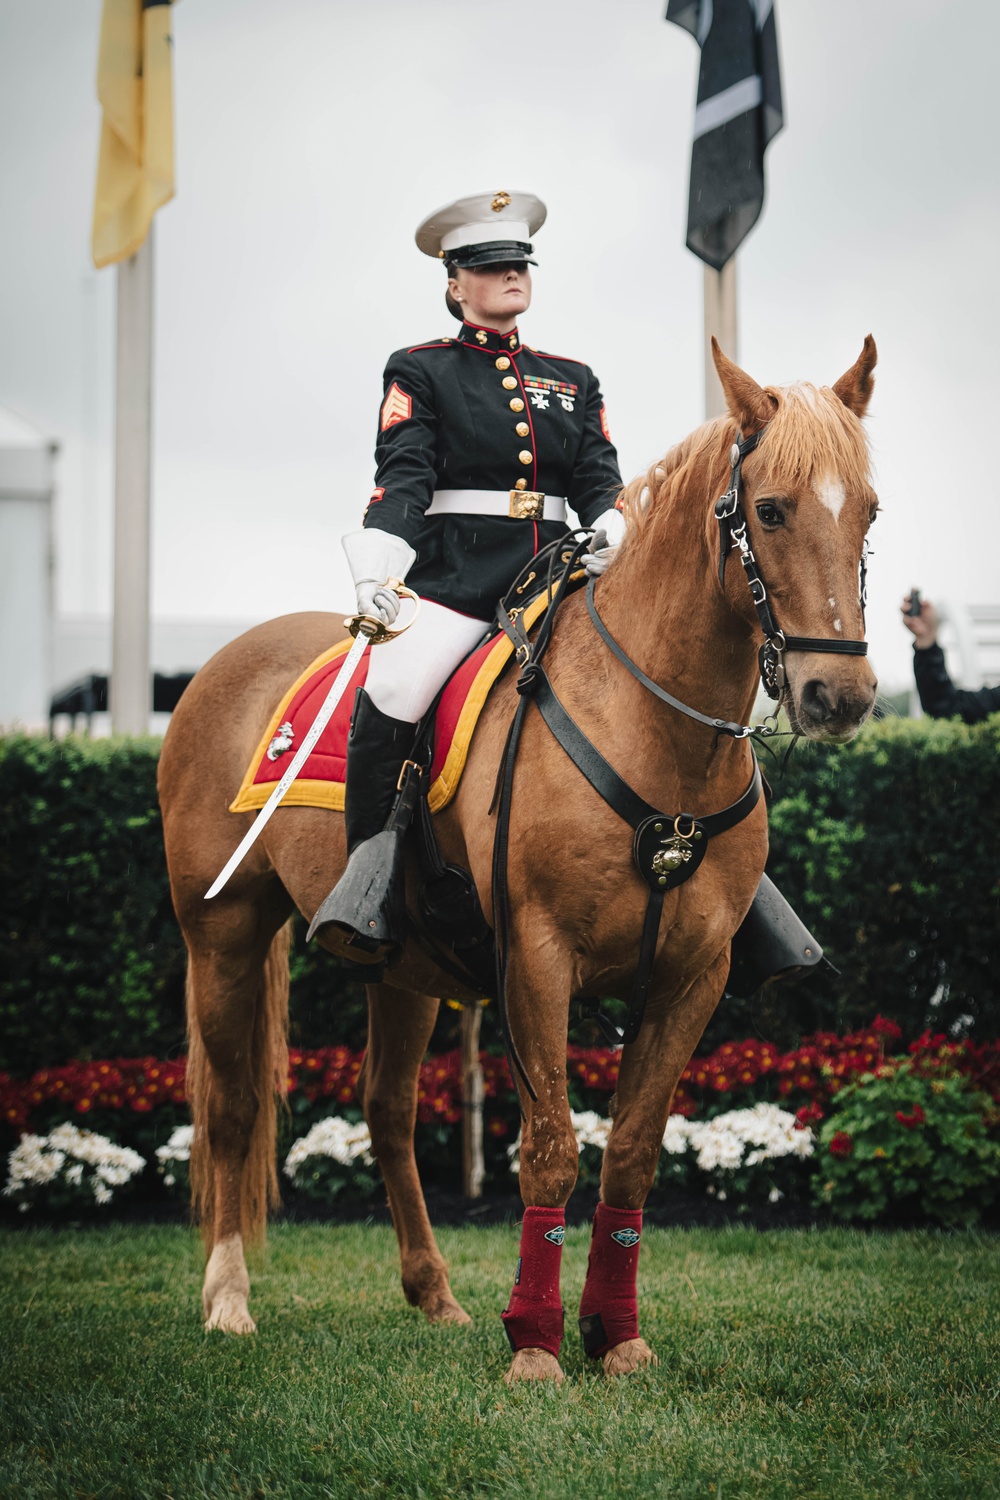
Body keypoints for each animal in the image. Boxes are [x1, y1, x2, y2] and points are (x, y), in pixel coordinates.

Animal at [160, 337, 881, 1380]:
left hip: (403, 968)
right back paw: (228, 1299)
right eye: (773, 508)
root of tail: (227, 660)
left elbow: (630, 1152)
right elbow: (549, 1147)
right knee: (231, 1109)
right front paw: (537, 1343)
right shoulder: (537, 960)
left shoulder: (692, 976)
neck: (654, 730)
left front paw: (616, 1336)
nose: (841, 695)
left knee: (387, 1113)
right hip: (221, 935)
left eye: (870, 507)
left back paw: (435, 1295)